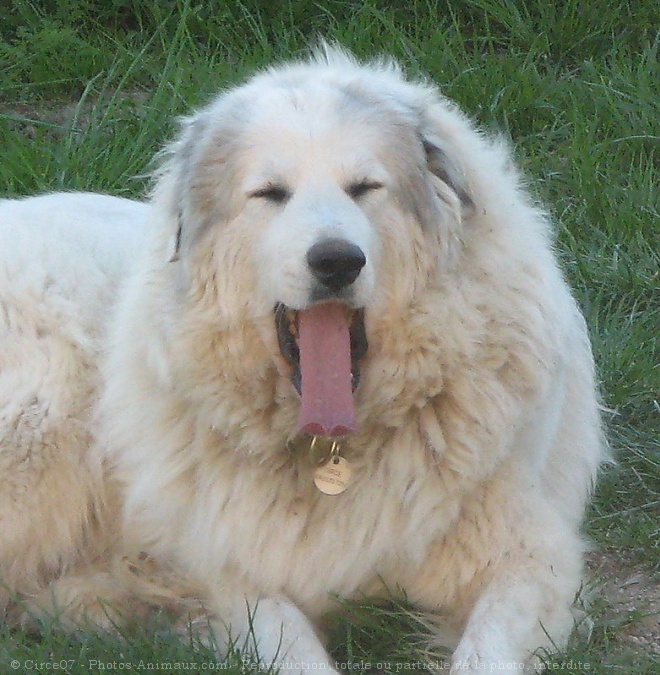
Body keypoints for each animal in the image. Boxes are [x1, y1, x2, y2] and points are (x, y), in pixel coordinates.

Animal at [0, 47, 604, 672]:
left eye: (364, 187)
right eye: (271, 193)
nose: (336, 260)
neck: (334, 449)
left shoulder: (529, 561)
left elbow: (485, 651)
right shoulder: (239, 578)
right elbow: (292, 644)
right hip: (41, 426)